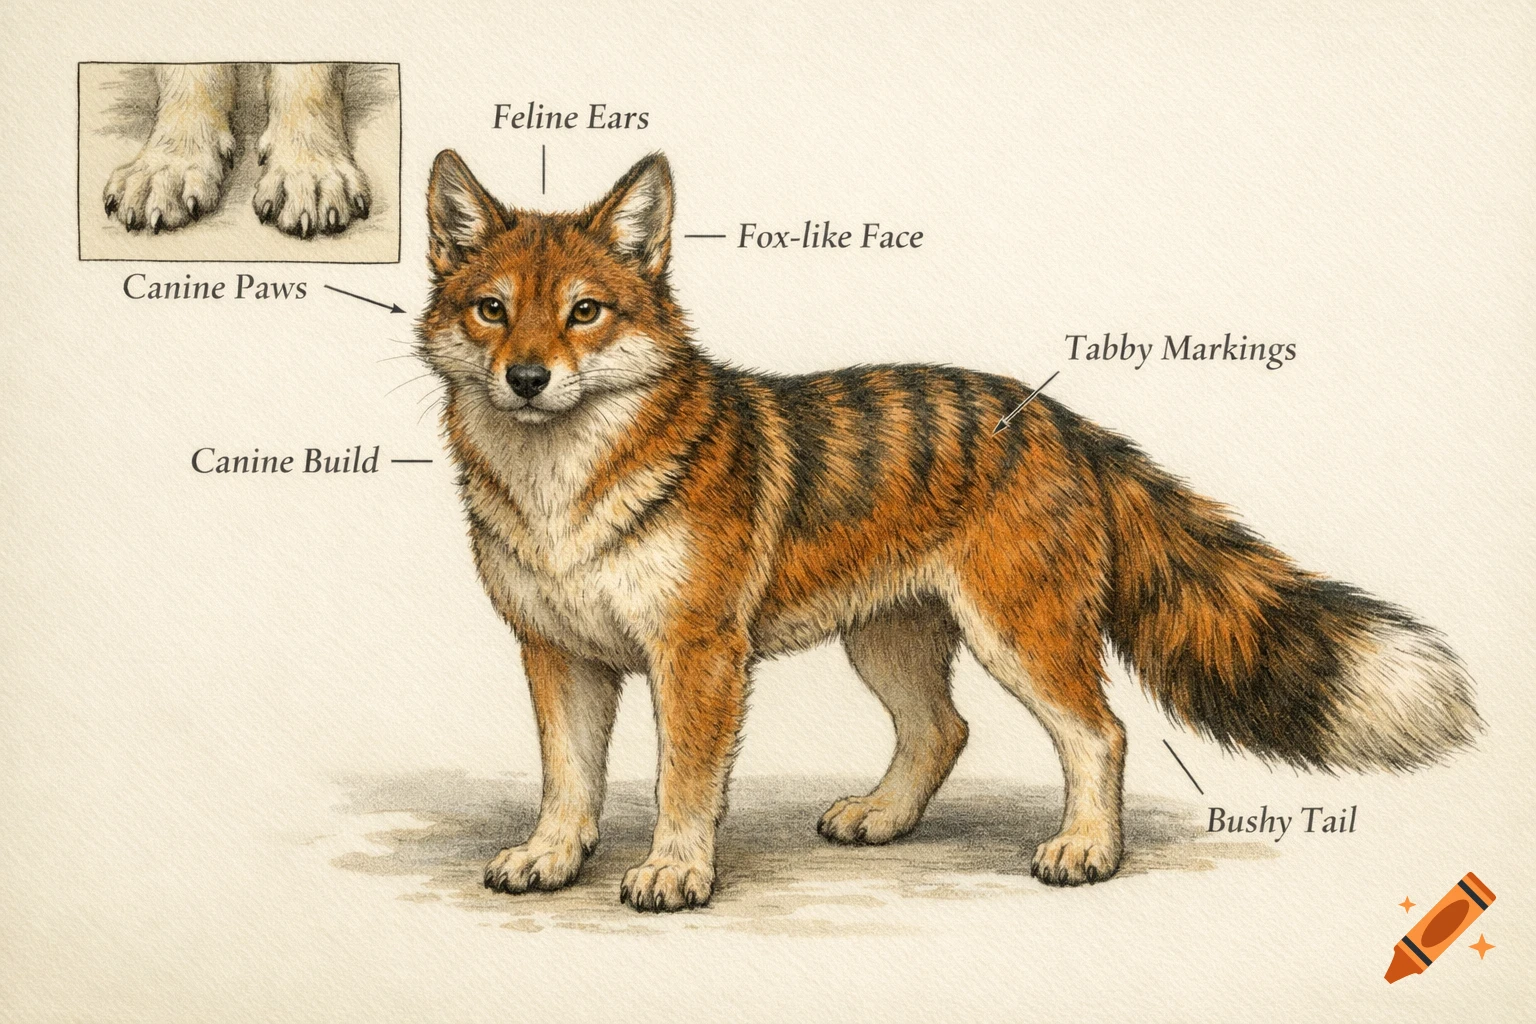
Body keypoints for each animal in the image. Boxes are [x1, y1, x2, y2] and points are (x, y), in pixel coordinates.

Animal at [417, 149, 1481, 912]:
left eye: (585, 313)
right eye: (492, 311)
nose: (526, 379)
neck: (563, 485)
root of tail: (1055, 417)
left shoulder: (698, 655)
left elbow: (682, 782)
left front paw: (676, 872)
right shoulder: (558, 652)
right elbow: (568, 779)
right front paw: (551, 857)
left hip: (1020, 635)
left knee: (1099, 733)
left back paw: (1086, 849)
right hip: (889, 638)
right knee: (944, 729)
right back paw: (885, 817)